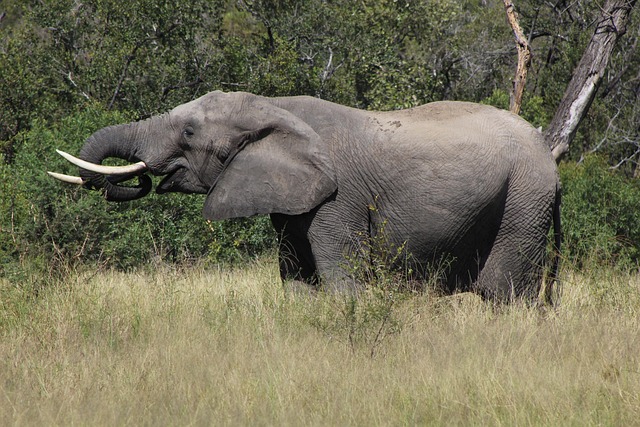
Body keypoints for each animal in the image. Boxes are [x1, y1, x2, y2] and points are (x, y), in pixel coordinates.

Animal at [49, 90, 561, 302]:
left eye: (189, 132)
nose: (144, 177)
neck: (272, 107)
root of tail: (552, 161)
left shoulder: (338, 199)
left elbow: (340, 280)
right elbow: (295, 281)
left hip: (522, 202)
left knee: (504, 294)